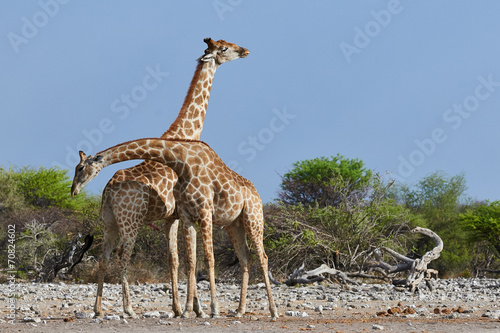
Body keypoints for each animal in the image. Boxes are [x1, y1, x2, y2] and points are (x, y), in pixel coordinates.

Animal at [71, 137, 280, 320]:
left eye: (80, 167)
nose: (74, 190)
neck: (182, 163)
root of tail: (256, 192)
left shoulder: (204, 212)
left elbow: (208, 258)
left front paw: (212, 309)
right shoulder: (187, 216)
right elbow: (190, 260)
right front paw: (189, 310)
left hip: (253, 217)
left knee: (262, 257)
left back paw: (273, 312)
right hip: (234, 225)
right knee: (246, 258)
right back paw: (240, 310)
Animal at [91, 37, 249, 318]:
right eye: (224, 48)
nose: (245, 51)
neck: (184, 134)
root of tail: (109, 190)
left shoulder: (171, 217)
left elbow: (176, 260)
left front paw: (183, 307)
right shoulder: (178, 215)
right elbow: (183, 260)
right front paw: (194, 308)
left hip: (108, 220)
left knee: (104, 254)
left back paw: (98, 309)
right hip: (131, 221)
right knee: (123, 254)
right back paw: (128, 309)